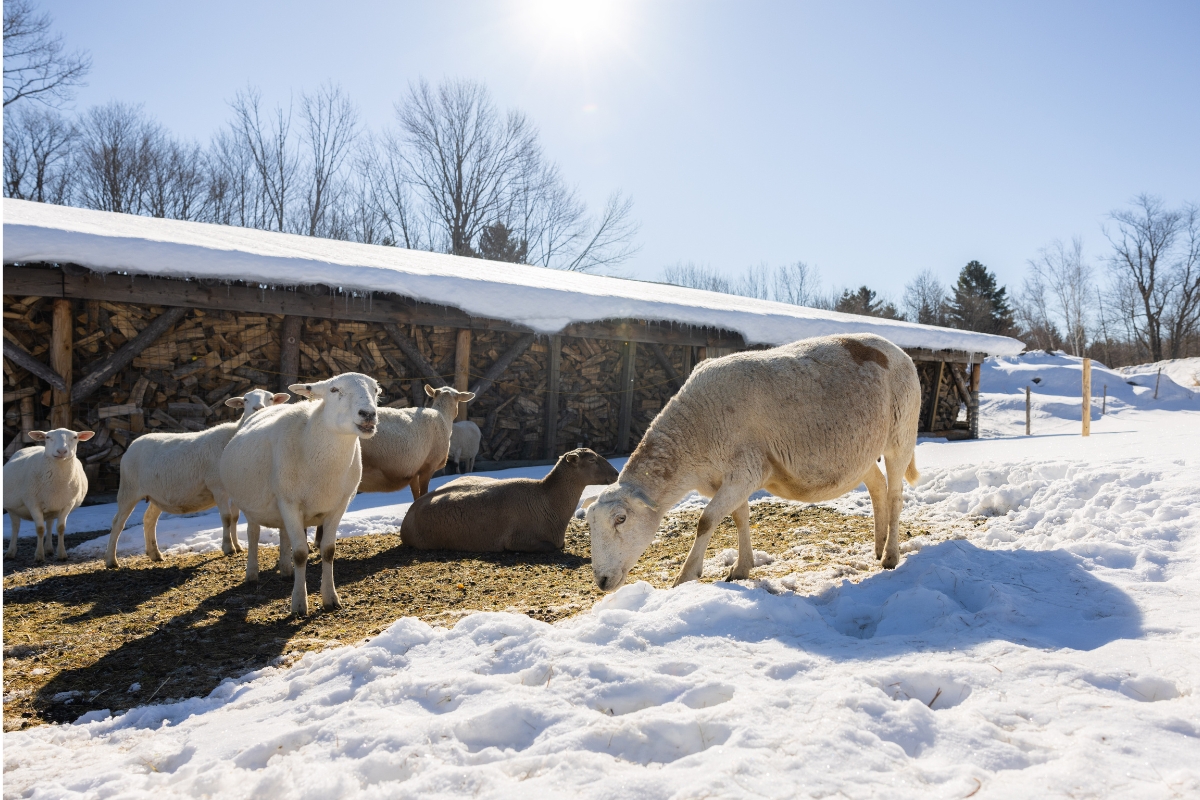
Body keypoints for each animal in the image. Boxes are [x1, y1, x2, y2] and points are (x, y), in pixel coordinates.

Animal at [4, 428, 95, 562]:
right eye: (48, 437)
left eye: (75, 437)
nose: (61, 451)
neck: (57, 484)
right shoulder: (33, 503)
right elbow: (40, 529)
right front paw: (39, 556)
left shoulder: (68, 504)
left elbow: (61, 528)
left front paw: (62, 554)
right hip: (12, 508)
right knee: (16, 527)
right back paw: (11, 552)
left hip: (51, 507)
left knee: (50, 524)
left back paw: (48, 549)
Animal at [104, 389, 289, 569]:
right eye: (245, 400)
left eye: (271, 398)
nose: (259, 408)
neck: (233, 436)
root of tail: (132, 445)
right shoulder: (217, 487)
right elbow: (226, 518)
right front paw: (228, 548)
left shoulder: (236, 489)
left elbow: (235, 518)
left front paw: (237, 546)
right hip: (129, 488)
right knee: (117, 523)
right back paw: (111, 560)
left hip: (156, 495)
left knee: (149, 520)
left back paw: (155, 554)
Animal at [220, 372, 379, 616]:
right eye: (334, 389)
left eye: (376, 390)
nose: (369, 414)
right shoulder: (289, 503)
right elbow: (301, 554)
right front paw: (298, 604)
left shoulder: (338, 505)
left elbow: (328, 550)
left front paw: (330, 598)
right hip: (254, 505)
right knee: (253, 535)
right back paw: (252, 573)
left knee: (284, 534)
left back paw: (286, 570)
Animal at [587, 333, 921, 592]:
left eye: (621, 519)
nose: (601, 581)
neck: (692, 436)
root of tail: (899, 351)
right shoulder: (726, 477)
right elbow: (740, 517)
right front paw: (741, 568)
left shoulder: (746, 470)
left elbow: (706, 520)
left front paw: (686, 576)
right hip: (862, 451)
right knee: (877, 487)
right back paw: (878, 546)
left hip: (901, 434)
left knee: (895, 495)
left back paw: (890, 556)